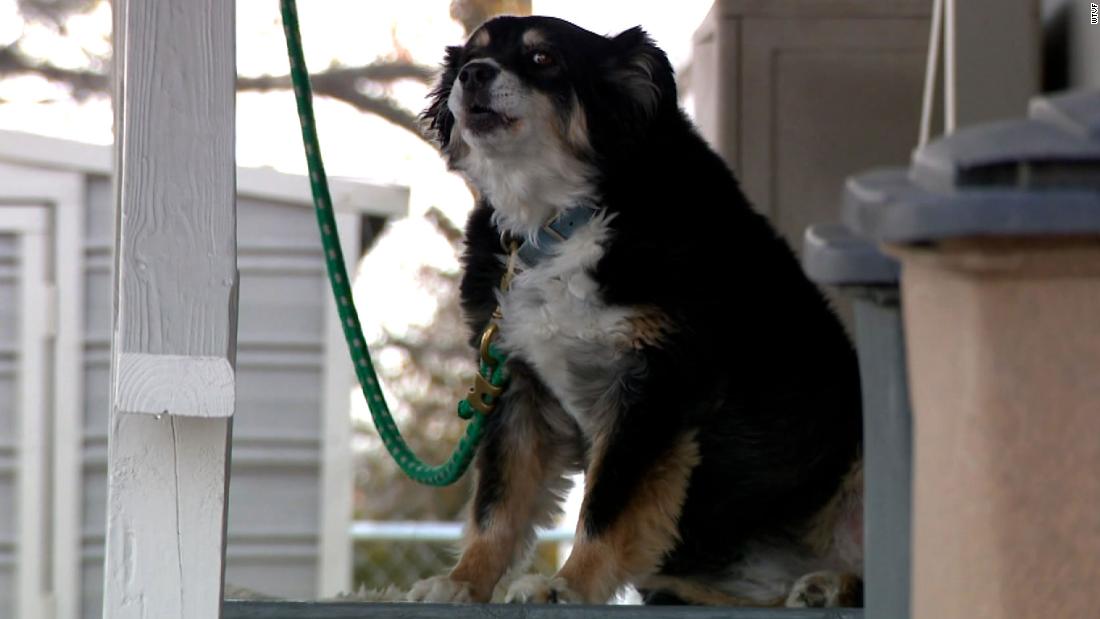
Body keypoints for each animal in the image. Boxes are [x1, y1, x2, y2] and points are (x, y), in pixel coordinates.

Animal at [409, 16, 862, 606]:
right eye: (469, 56)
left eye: (543, 59)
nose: (473, 75)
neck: (559, 221)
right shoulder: (516, 385)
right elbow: (498, 505)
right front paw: (464, 581)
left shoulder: (654, 386)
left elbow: (606, 506)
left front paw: (565, 587)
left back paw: (832, 584)